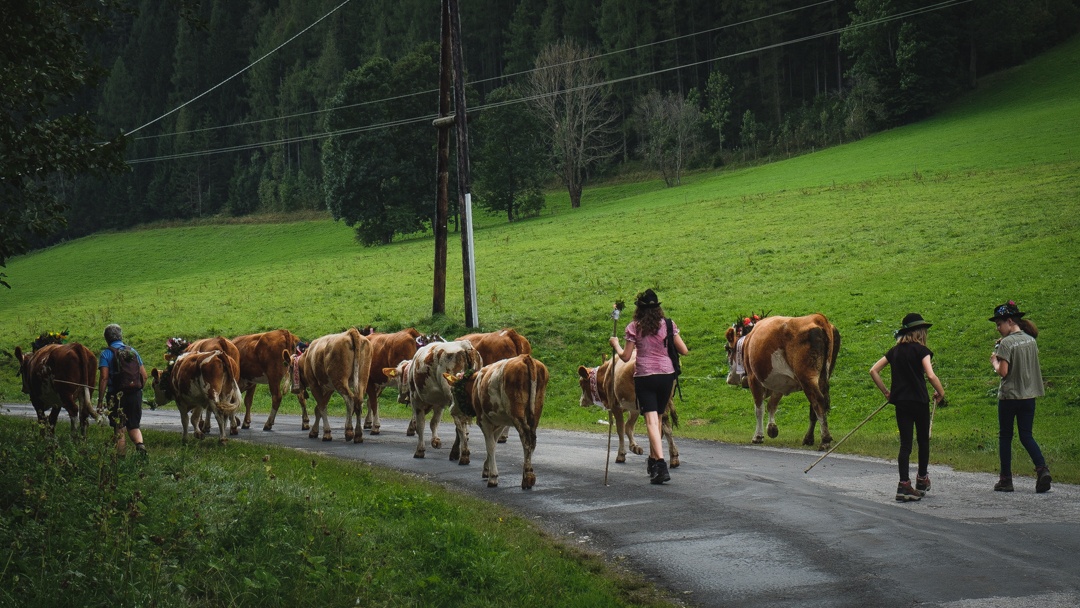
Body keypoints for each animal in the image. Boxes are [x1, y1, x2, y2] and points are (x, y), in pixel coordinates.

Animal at [442, 356, 548, 490]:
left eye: (453, 390)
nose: (452, 410)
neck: (475, 384)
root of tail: (525, 357)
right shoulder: (501, 421)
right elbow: (494, 442)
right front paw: (487, 469)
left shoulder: (483, 420)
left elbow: (490, 445)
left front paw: (493, 477)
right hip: (536, 412)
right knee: (533, 441)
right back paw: (529, 474)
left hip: (517, 414)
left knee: (527, 441)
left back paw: (527, 477)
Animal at [725, 313, 842, 447]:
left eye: (728, 349)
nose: (729, 379)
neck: (748, 342)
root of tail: (818, 318)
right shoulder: (779, 382)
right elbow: (772, 405)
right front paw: (772, 428)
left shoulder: (753, 378)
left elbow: (759, 408)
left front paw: (758, 436)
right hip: (823, 375)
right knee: (815, 406)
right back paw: (808, 438)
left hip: (806, 376)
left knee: (819, 401)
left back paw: (825, 439)